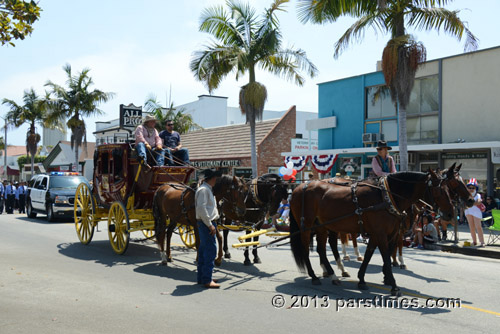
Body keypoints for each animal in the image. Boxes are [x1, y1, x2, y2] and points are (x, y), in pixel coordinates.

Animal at [290, 171, 458, 296]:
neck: (387, 196)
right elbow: (385, 256)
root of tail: (299, 187)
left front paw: (362, 280)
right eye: (438, 190)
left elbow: (370, 254)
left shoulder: (381, 233)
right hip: (306, 226)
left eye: (449, 189)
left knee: (322, 249)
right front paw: (393, 285)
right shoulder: (381, 233)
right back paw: (314, 276)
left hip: (322, 226)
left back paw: (333, 274)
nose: (451, 213)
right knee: (306, 250)